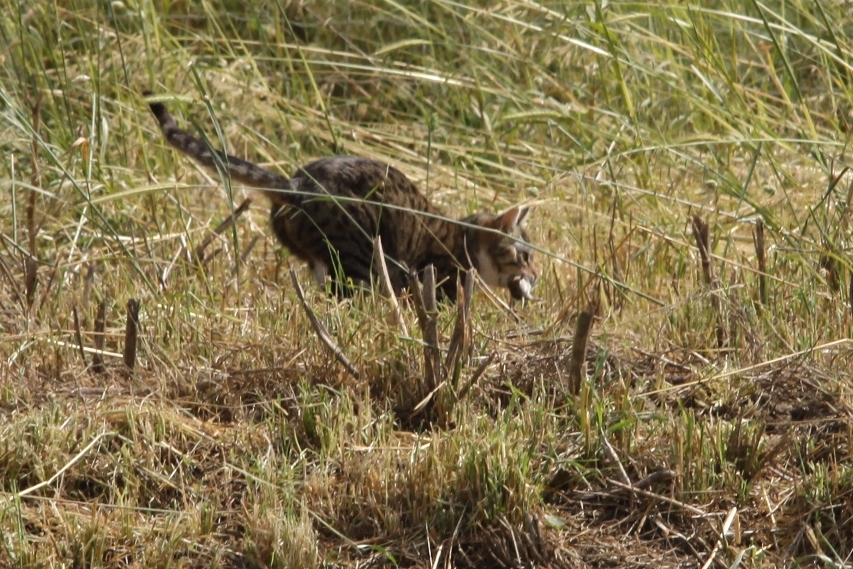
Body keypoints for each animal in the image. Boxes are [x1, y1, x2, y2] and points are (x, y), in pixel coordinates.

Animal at [143, 92, 537, 302]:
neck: (466, 240)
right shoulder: (433, 282)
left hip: (322, 258)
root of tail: (298, 183)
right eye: (526, 255)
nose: (536, 273)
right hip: (357, 259)